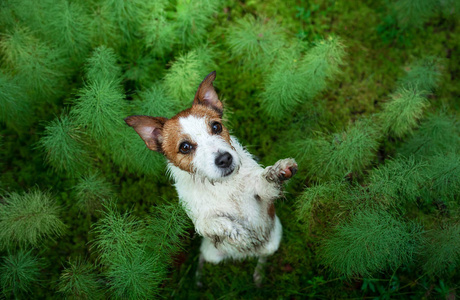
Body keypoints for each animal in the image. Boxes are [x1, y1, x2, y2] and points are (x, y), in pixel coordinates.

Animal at [125, 71, 298, 286]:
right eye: (185, 147)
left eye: (216, 127)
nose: (224, 159)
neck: (222, 186)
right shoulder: (199, 219)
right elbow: (213, 223)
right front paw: (237, 232)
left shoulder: (261, 195)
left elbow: (266, 182)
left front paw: (277, 171)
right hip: (212, 254)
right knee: (202, 258)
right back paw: (199, 278)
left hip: (272, 242)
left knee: (262, 258)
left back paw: (258, 275)